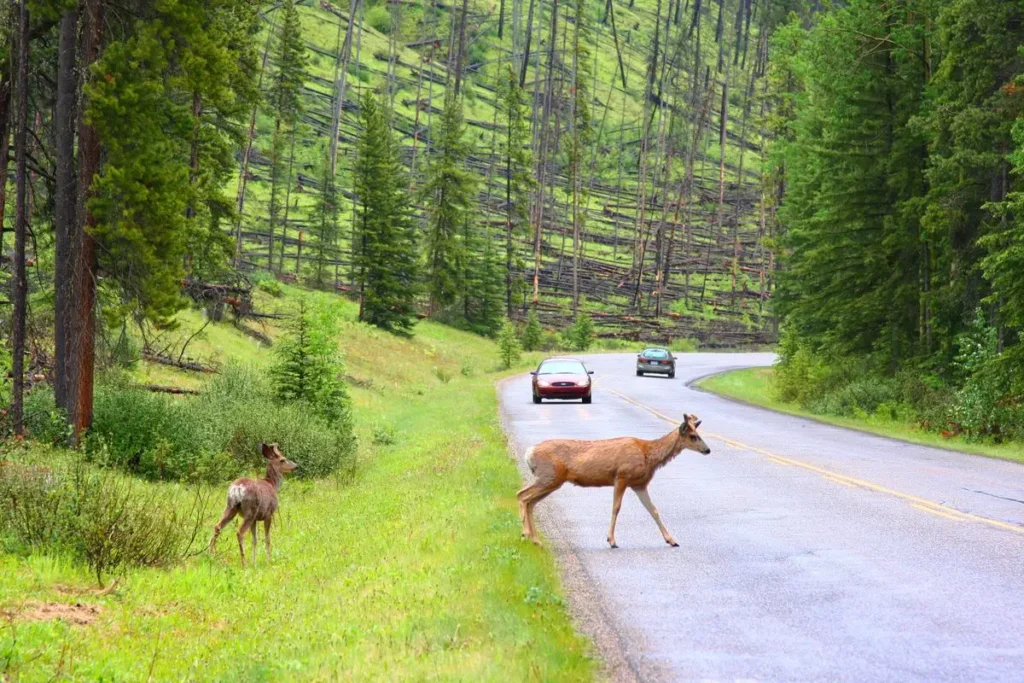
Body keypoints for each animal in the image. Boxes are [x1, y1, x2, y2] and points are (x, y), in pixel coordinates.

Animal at [517, 414, 710, 548]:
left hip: (551, 480)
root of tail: (529, 453)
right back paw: (525, 534)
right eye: (693, 436)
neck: (648, 455)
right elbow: (616, 508)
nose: (707, 450)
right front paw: (611, 540)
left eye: (698, 433)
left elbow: (653, 510)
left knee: (529, 501)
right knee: (522, 495)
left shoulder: (640, 484)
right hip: (549, 476)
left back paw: (535, 540)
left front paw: (671, 540)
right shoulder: (622, 476)